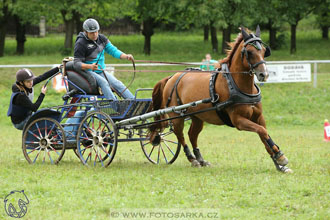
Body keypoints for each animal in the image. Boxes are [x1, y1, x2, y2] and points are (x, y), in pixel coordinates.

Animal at [150, 25, 292, 173]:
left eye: (264, 51)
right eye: (249, 52)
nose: (264, 74)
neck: (236, 84)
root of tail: (172, 77)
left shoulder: (258, 116)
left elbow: (264, 134)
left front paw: (279, 162)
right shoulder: (238, 121)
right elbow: (262, 131)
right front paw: (280, 157)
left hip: (197, 116)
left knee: (192, 134)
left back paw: (201, 159)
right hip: (176, 116)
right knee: (180, 135)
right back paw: (192, 159)